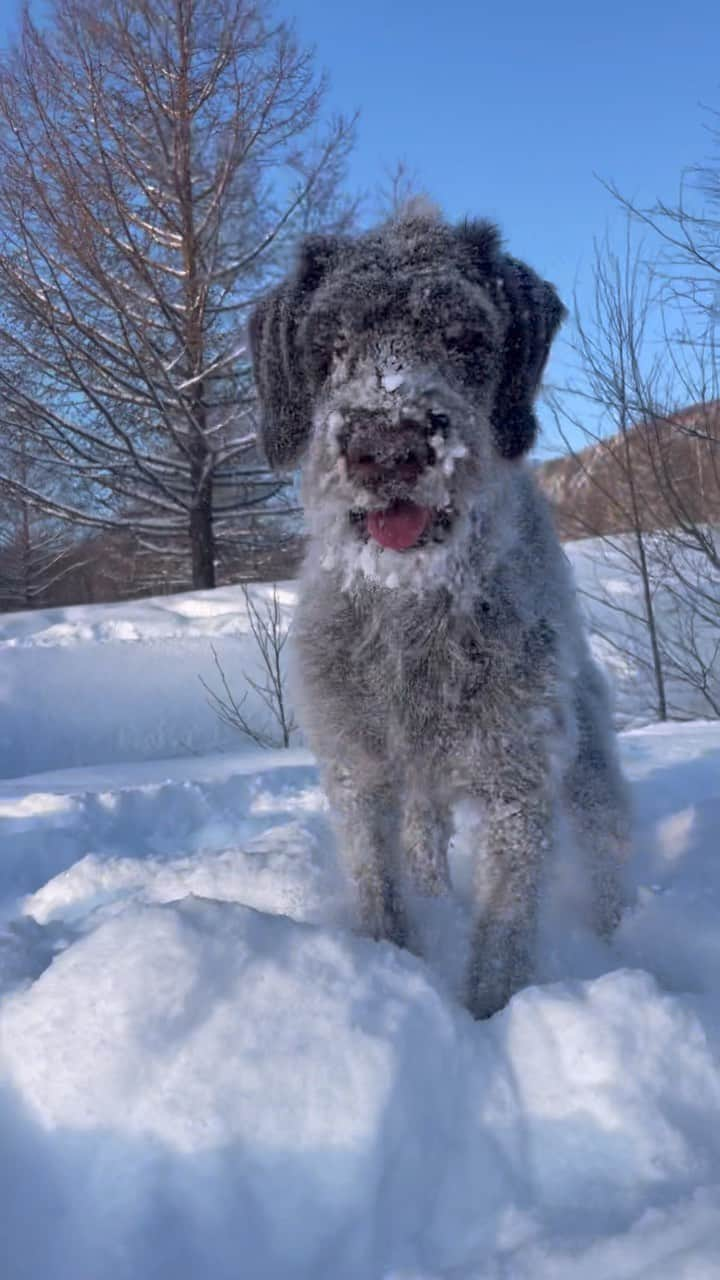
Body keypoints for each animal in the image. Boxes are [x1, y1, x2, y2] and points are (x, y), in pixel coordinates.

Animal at [248, 212, 627, 1018]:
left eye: (462, 335)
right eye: (330, 343)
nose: (387, 445)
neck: (411, 609)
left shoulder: (518, 781)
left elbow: (501, 937)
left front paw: (488, 1021)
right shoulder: (360, 770)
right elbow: (383, 895)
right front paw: (393, 973)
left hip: (586, 762)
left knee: (608, 840)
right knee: (423, 846)